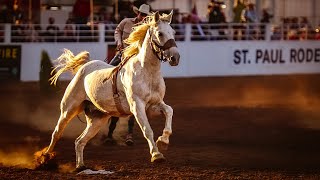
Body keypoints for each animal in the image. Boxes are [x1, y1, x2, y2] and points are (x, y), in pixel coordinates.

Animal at [36, 10, 180, 171]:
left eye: (173, 32)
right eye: (160, 33)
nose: (175, 57)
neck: (146, 72)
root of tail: (85, 67)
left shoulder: (154, 105)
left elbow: (169, 110)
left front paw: (163, 140)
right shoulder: (137, 106)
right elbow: (147, 130)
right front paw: (156, 155)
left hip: (97, 119)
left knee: (80, 141)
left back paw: (80, 166)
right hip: (68, 109)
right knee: (57, 133)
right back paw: (45, 159)